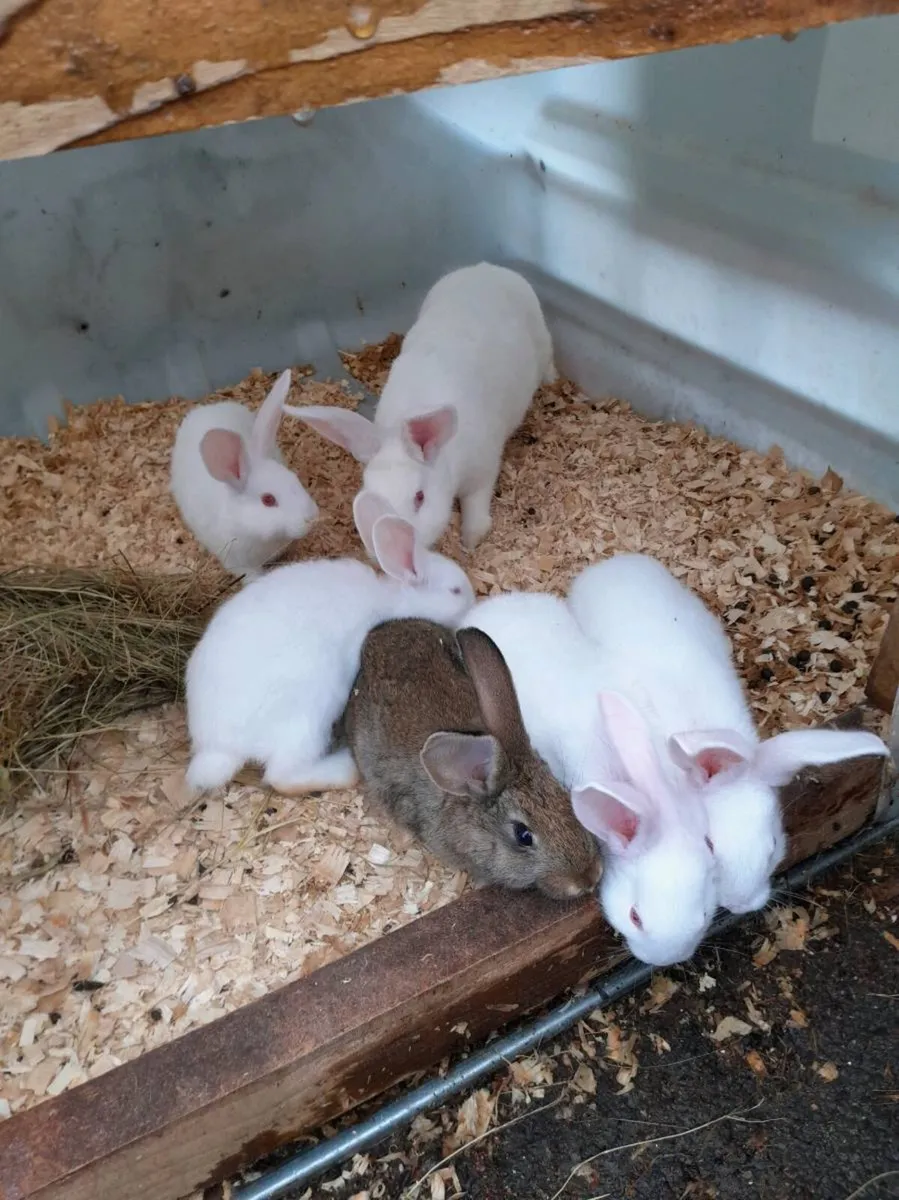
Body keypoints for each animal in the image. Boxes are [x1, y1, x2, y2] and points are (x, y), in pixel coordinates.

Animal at [184, 491, 475, 796]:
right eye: (455, 591)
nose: (473, 598)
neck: (389, 599)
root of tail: (218, 747)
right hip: (308, 715)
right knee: (282, 775)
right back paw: (345, 766)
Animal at [283, 263, 556, 553]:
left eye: (419, 497)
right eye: (368, 495)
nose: (391, 545)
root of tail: (487, 268)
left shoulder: (483, 469)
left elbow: (476, 505)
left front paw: (470, 541)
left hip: (542, 341)